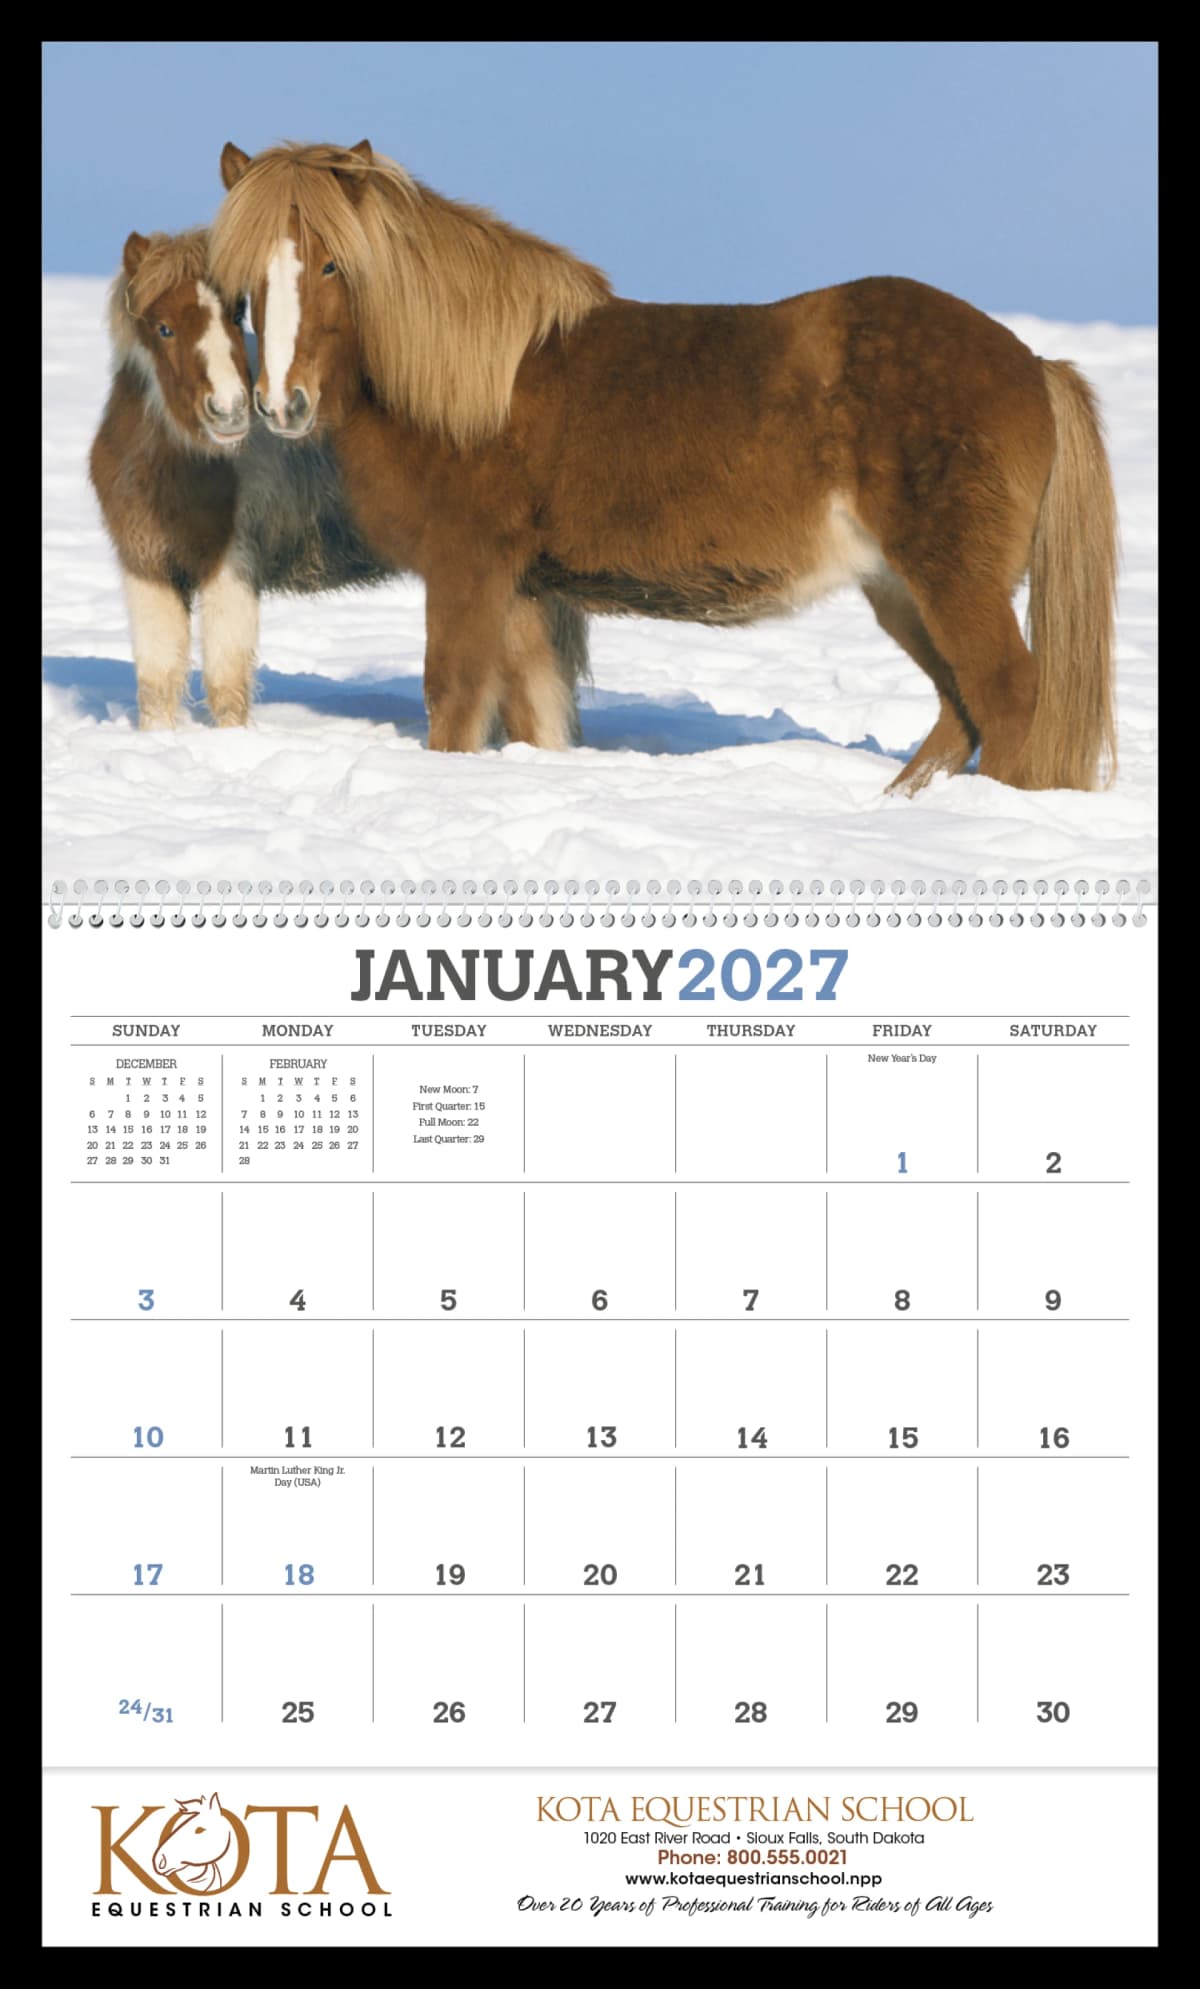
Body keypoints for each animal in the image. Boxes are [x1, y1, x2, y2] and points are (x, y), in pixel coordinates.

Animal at [88, 227, 591, 732]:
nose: (230, 411)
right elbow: (158, 682)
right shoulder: (147, 569)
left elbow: (225, 683)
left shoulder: (229, 569)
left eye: (234, 314)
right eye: (163, 327)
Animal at [211, 140, 1119, 793]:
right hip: (900, 589)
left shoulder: (468, 570)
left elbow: (454, 701)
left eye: (334, 263)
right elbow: (535, 716)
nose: (281, 404)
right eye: (246, 280)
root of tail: (1032, 363)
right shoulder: (525, 591)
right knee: (962, 711)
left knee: (1008, 701)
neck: (477, 386)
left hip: (952, 582)